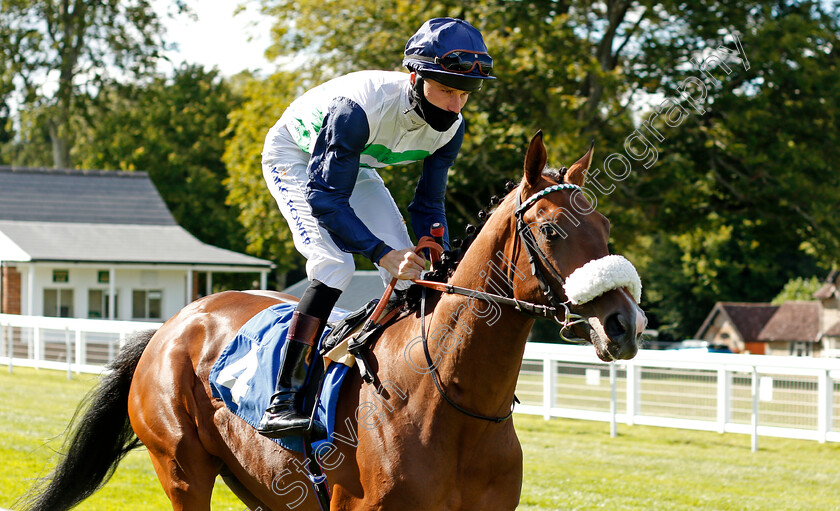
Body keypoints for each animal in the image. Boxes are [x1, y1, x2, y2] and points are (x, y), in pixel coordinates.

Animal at [24, 133, 644, 511]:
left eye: (606, 226)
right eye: (551, 231)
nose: (623, 324)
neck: (448, 400)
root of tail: (176, 323)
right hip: (181, 468)